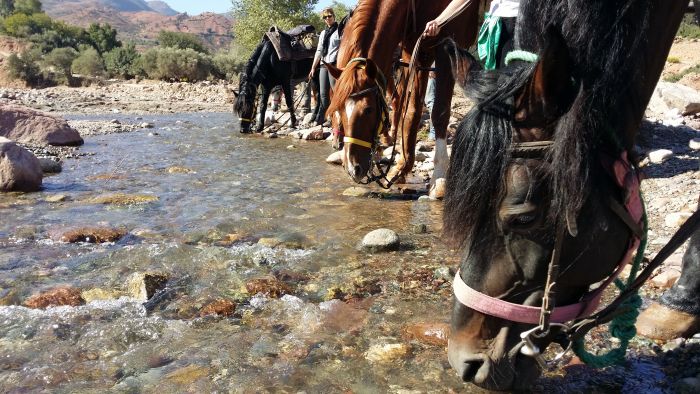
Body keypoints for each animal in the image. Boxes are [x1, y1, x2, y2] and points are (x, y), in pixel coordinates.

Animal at [324, 0, 478, 194]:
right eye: (338, 109)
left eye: (368, 109)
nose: (353, 168)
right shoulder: (417, 53)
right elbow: (411, 111)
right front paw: (402, 168)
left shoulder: (447, 48)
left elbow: (439, 112)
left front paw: (439, 177)